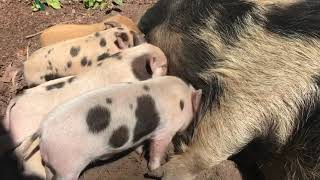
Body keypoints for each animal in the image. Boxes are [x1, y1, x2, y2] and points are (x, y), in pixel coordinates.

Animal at [32, 76, 201, 180]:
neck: (181, 100)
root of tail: (43, 130)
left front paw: (140, 153)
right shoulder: (165, 131)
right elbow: (157, 150)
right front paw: (154, 168)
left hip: (51, 165)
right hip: (68, 167)